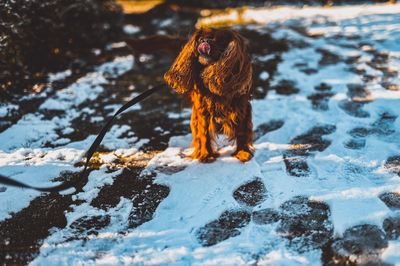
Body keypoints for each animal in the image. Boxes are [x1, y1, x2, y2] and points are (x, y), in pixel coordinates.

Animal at [165, 28, 253, 162]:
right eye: (199, 38)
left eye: (219, 39)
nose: (204, 40)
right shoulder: (202, 110)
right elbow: (204, 134)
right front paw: (206, 155)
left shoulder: (241, 108)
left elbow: (242, 132)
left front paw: (242, 152)